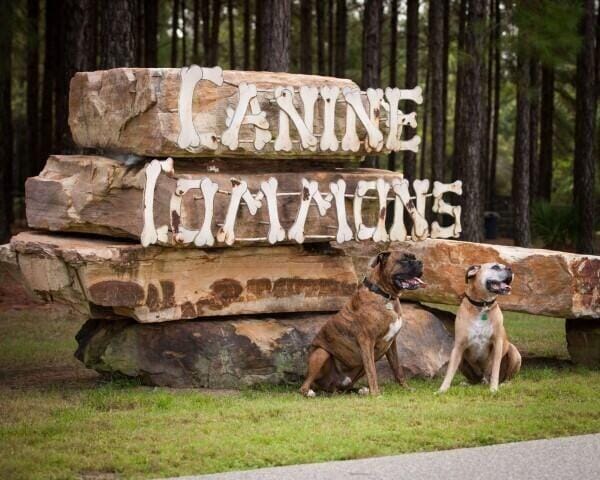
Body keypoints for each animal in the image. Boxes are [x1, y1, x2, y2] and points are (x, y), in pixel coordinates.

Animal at [298, 251, 422, 398]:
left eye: (414, 258)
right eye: (404, 260)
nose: (420, 262)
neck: (385, 295)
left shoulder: (392, 344)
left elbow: (397, 369)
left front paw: (406, 388)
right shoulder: (367, 341)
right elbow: (372, 372)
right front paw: (376, 394)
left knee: (344, 389)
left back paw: (361, 390)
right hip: (321, 353)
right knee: (304, 386)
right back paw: (309, 392)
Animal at [436, 262, 520, 394]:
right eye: (495, 267)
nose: (510, 269)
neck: (482, 306)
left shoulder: (497, 344)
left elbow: (495, 369)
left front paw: (493, 389)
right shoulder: (458, 346)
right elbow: (450, 371)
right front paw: (442, 389)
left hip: (514, 353)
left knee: (506, 377)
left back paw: (503, 384)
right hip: (463, 360)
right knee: (474, 379)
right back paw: (468, 383)